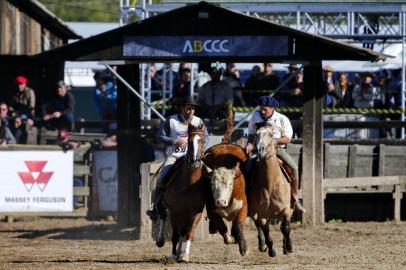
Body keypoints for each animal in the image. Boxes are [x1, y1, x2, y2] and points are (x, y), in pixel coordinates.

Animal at [155, 122, 206, 262]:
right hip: (164, 205)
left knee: (183, 231)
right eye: (189, 141)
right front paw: (173, 255)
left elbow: (189, 233)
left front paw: (185, 255)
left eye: (202, 141)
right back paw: (161, 241)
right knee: (162, 215)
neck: (188, 184)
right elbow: (175, 235)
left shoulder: (196, 212)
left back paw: (180, 252)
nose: (195, 162)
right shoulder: (175, 211)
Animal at [246, 124, 294, 258]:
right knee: (258, 225)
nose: (260, 150)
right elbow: (266, 230)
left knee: (283, 226)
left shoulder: (286, 208)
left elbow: (286, 227)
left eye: (271, 134)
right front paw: (271, 250)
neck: (271, 184)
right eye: (256, 134)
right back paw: (262, 245)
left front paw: (289, 247)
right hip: (254, 211)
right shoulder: (261, 213)